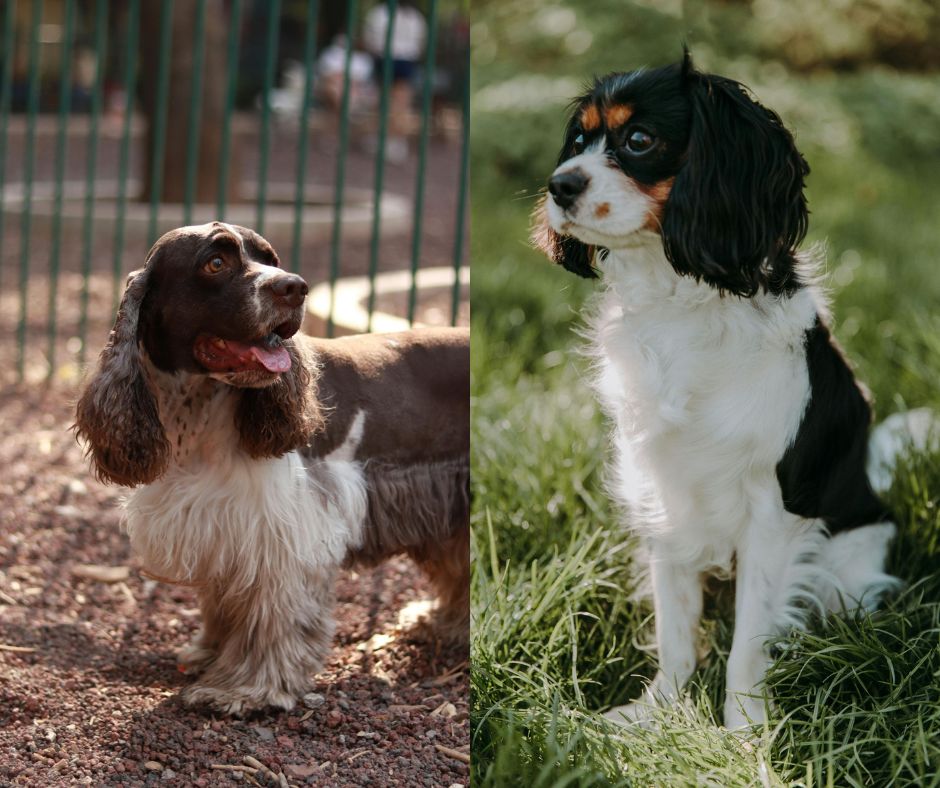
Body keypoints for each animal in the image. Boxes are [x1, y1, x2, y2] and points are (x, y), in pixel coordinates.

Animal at [74, 222, 470, 716]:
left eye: (272, 259)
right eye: (215, 262)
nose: (295, 287)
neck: (197, 414)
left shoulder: (283, 532)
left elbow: (272, 618)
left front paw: (244, 689)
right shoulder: (220, 524)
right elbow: (224, 603)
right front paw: (212, 654)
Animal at [532, 49, 928, 728]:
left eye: (639, 141)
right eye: (578, 141)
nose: (560, 184)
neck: (680, 300)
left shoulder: (771, 511)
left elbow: (749, 640)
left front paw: (745, 732)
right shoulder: (661, 494)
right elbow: (675, 627)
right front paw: (656, 713)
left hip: (848, 566)